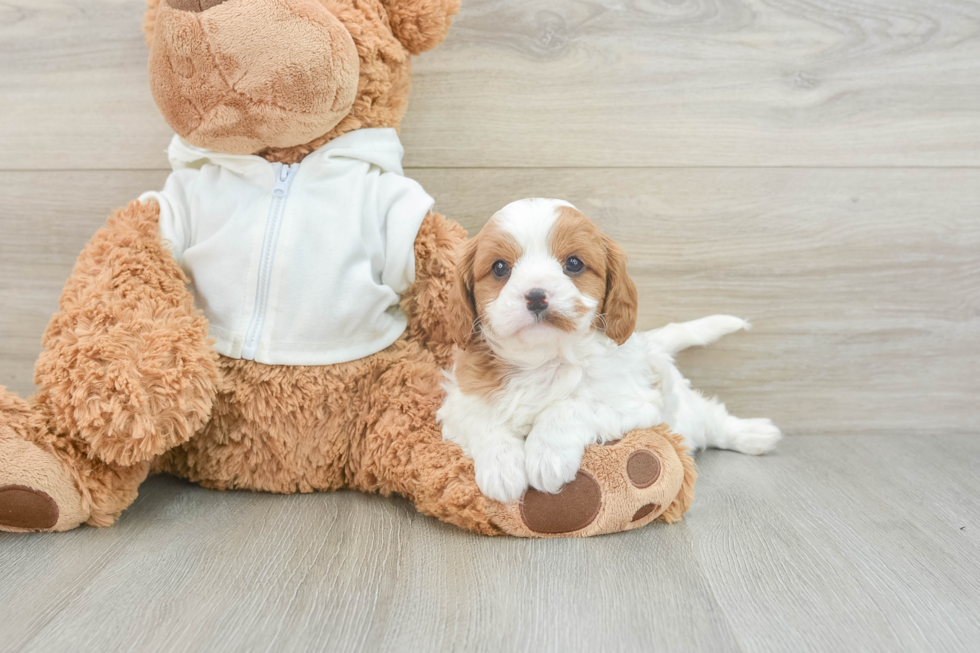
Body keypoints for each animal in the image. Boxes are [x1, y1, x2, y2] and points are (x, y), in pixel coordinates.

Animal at [438, 196, 780, 502]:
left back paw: (754, 434)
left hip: (685, 411)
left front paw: (547, 455)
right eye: (499, 268)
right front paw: (501, 468)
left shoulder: (633, 402)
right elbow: (485, 421)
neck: (545, 359)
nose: (536, 296)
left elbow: (571, 406)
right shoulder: (459, 403)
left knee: (714, 422)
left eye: (574, 263)